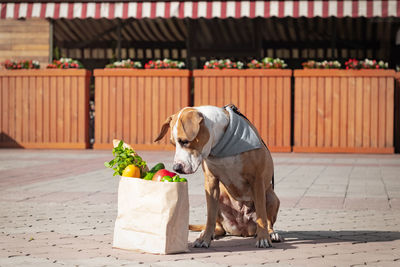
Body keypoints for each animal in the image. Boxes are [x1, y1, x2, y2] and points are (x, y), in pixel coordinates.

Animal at [154, 105, 282, 249]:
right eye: (173, 143)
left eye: (185, 141)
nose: (176, 168)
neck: (221, 147)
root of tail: (243, 229)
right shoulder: (211, 183)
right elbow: (210, 216)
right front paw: (204, 239)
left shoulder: (257, 180)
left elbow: (261, 215)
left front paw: (263, 238)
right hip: (220, 197)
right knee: (219, 226)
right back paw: (209, 233)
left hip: (271, 196)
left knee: (268, 220)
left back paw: (271, 233)